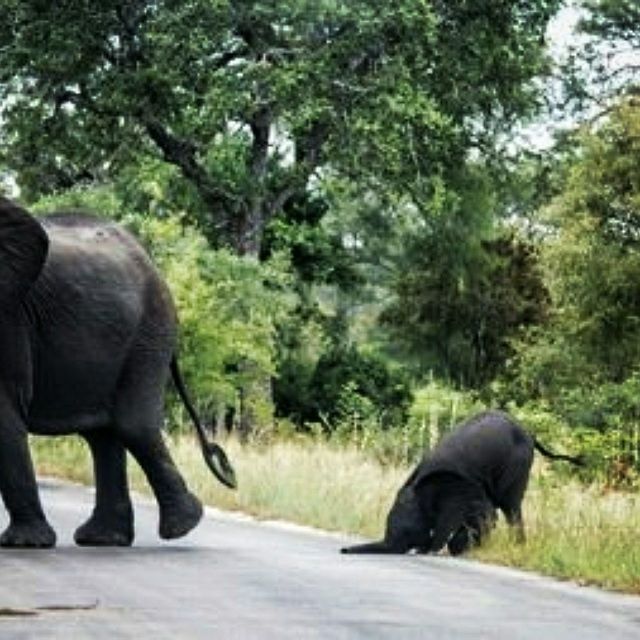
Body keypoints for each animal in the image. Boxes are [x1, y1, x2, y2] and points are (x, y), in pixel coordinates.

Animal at [0, 198, 236, 548]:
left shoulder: (9, 318)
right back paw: (104, 537)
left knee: (132, 425)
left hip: (149, 333)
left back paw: (181, 525)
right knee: (104, 435)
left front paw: (23, 544)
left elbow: (3, 414)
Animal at [342, 410, 584, 556]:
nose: (342, 551)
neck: (417, 487)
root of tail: (530, 434)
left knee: (510, 506)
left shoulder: (455, 486)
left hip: (518, 464)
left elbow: (461, 515)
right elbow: (481, 513)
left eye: (407, 534)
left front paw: (433, 550)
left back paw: (518, 547)